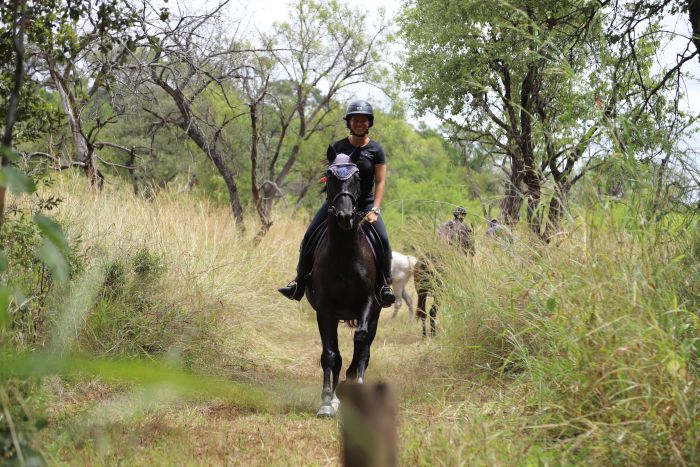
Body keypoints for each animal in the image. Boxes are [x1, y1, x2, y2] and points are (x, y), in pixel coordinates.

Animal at [305, 154, 382, 418]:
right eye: (330, 177)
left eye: (357, 178)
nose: (345, 217)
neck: (345, 253)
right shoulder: (325, 308)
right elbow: (330, 355)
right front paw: (328, 401)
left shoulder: (368, 301)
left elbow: (361, 340)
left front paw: (353, 382)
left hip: (376, 312)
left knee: (365, 348)